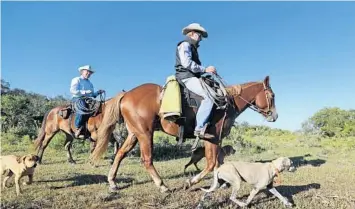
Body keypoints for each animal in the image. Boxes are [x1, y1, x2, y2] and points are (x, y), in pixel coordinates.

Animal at [91, 76, 278, 192]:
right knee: (147, 159)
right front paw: (191, 182)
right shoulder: (211, 138)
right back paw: (162, 186)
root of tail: (126, 94)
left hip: (134, 134)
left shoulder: (217, 140)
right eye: (272, 95)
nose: (275, 116)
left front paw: (222, 182)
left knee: (120, 154)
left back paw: (112, 182)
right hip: (145, 134)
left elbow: (218, 163)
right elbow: (211, 163)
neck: (226, 103)